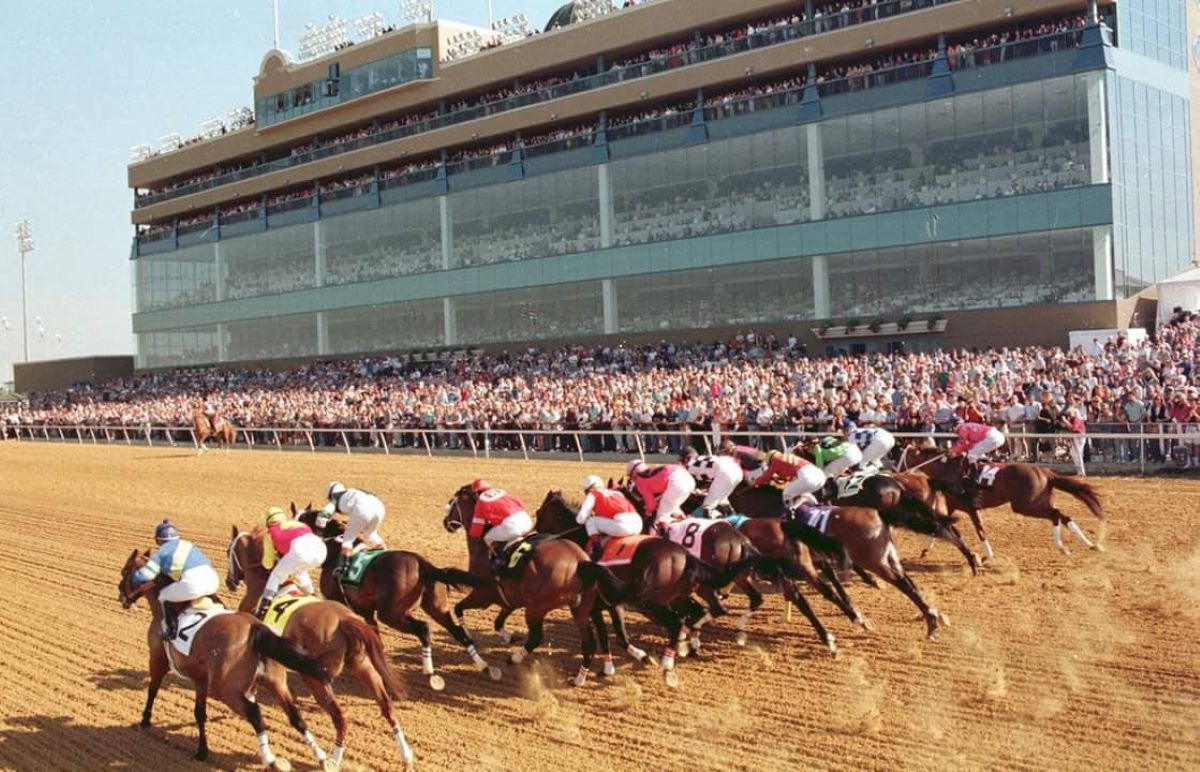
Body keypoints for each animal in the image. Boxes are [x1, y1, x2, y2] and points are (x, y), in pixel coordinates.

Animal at [116, 549, 328, 768]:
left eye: (124, 571)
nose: (121, 595)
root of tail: (256, 628)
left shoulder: (157, 660)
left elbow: (153, 689)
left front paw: (145, 720)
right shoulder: (200, 679)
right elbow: (200, 713)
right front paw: (202, 751)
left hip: (225, 689)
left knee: (255, 714)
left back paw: (271, 760)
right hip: (275, 682)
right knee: (295, 715)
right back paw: (322, 757)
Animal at [226, 528, 420, 768]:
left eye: (229, 550)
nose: (229, 581)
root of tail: (345, 619)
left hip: (316, 677)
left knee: (340, 717)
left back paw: (333, 760)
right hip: (362, 665)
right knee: (387, 707)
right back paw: (406, 755)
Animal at [290, 511, 506, 686]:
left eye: (299, 520)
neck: (335, 552)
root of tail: (423, 564)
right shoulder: (367, 611)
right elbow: (374, 636)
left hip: (392, 613)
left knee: (423, 628)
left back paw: (430, 672)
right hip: (436, 607)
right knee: (459, 631)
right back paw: (486, 667)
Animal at [444, 487, 609, 691]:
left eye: (452, 502)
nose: (446, 522)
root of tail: (580, 561)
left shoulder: (482, 596)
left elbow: (458, 608)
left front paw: (468, 635)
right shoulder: (510, 599)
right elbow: (497, 622)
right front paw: (508, 637)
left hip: (536, 608)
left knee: (536, 637)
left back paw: (513, 658)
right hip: (580, 609)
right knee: (589, 644)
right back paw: (579, 679)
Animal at [902, 444, 1104, 559]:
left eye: (899, 455)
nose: (898, 471)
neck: (947, 470)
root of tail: (1045, 472)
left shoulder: (969, 507)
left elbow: (979, 529)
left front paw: (987, 555)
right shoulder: (953, 506)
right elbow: (938, 526)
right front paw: (924, 551)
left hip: (1025, 505)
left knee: (1055, 515)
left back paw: (1064, 547)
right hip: (1039, 502)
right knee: (1063, 516)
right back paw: (1089, 545)